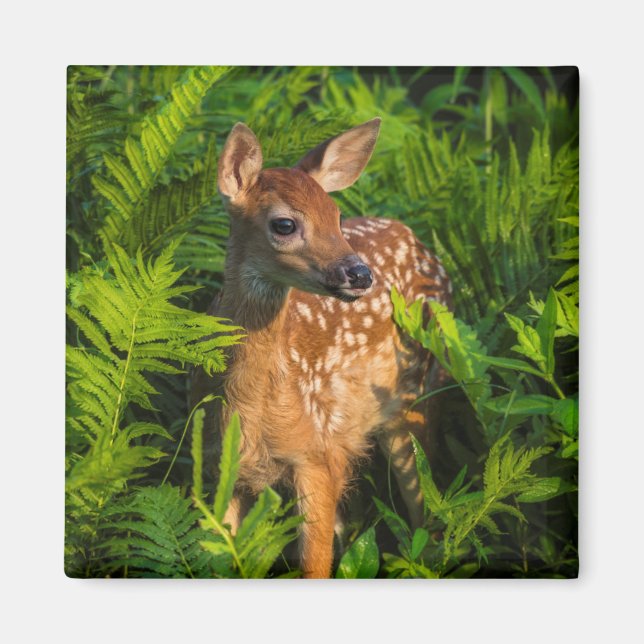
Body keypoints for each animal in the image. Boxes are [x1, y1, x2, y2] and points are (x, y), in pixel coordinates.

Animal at [191, 118, 452, 578]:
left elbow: (315, 567)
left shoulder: (315, 455)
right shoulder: (222, 469)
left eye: (336, 216)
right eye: (284, 225)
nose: (360, 274)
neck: (250, 406)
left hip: (418, 396)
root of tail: (420, 243)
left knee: (427, 514)